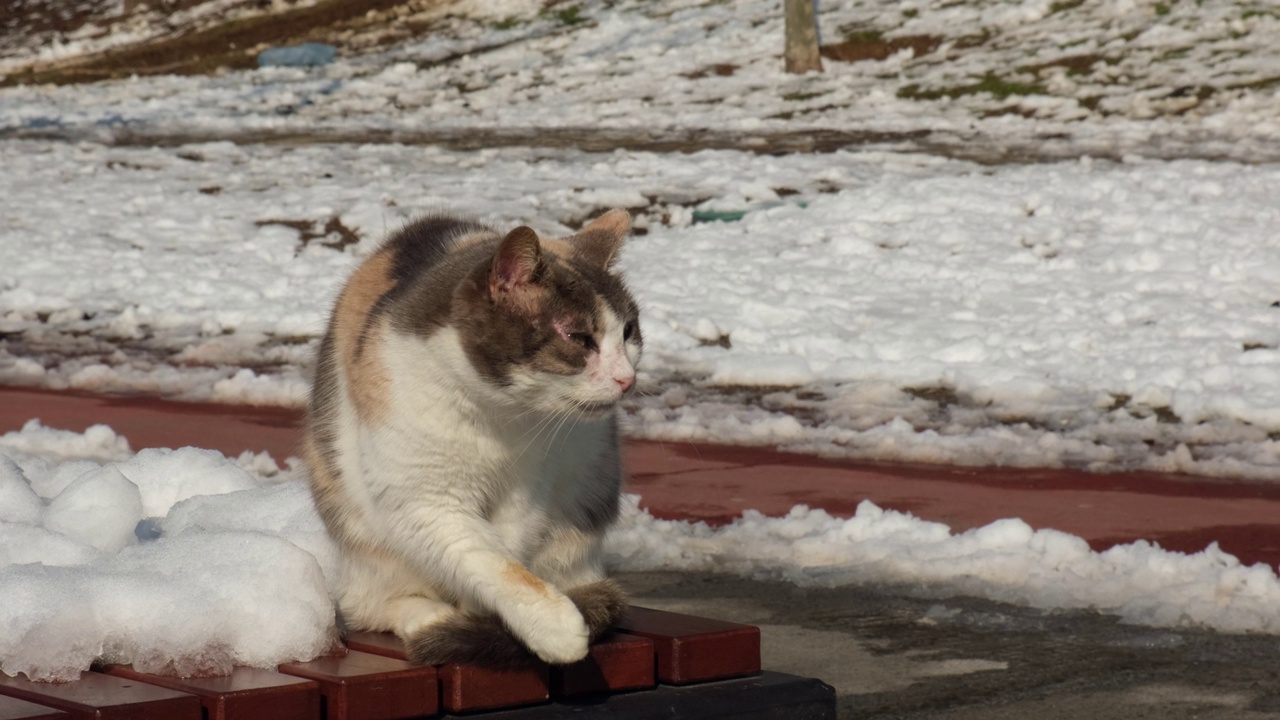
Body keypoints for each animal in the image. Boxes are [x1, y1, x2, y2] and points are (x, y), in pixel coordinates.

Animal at [299, 204, 640, 666]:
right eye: (579, 337)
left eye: (629, 332)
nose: (627, 378)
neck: (496, 415)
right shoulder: (425, 502)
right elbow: (488, 559)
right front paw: (556, 629)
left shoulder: (527, 493)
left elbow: (508, 556)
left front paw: (483, 623)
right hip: (360, 535)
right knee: (367, 604)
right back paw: (426, 618)